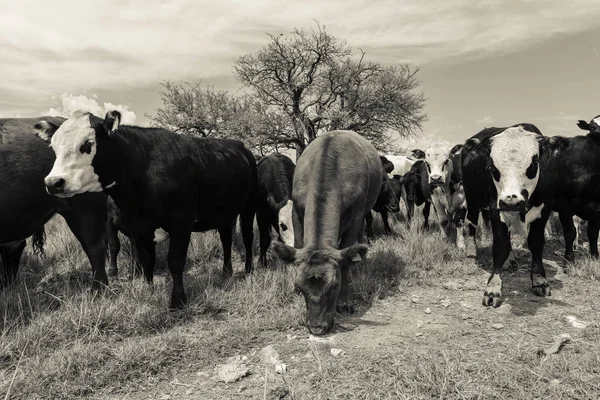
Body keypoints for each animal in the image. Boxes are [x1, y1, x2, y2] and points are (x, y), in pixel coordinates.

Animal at [41, 109, 258, 310]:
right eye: (54, 148)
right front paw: (148, 289)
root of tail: (239, 146)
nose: (53, 182)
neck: (142, 169)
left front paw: (178, 301)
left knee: (247, 237)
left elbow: (175, 261)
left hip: (248, 206)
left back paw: (249, 269)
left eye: (87, 144)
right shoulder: (141, 227)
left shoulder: (182, 222)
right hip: (225, 213)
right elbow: (146, 259)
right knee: (226, 239)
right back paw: (226, 271)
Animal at [272, 130, 380, 334]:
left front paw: (344, 301)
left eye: (334, 286)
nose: (317, 328)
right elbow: (299, 244)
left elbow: (345, 261)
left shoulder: (356, 216)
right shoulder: (297, 212)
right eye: (301, 286)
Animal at [460, 122, 600, 306]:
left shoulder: (545, 210)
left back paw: (510, 260)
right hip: (472, 199)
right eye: (493, 166)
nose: (511, 202)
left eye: (533, 165)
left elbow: (536, 243)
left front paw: (540, 280)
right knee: (471, 224)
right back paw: (471, 254)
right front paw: (493, 288)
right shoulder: (496, 208)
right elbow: (500, 246)